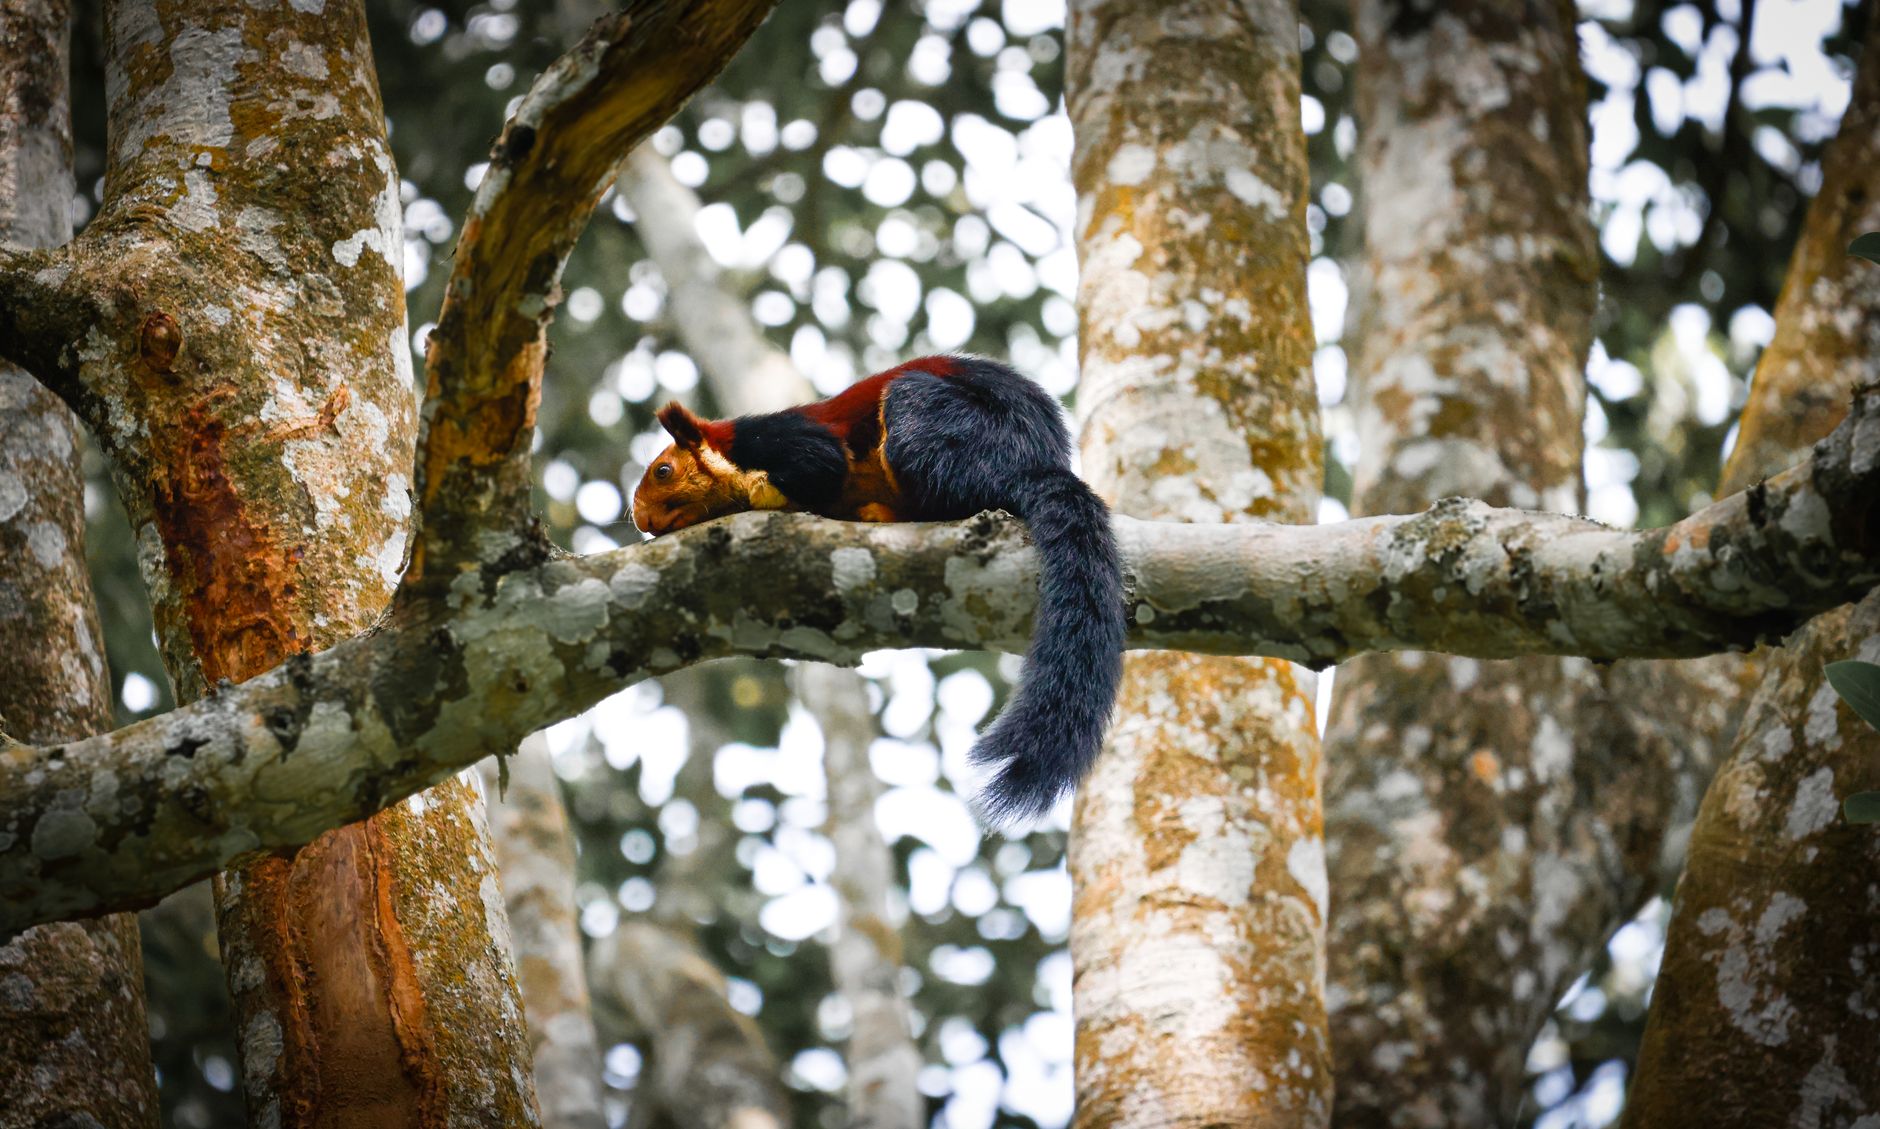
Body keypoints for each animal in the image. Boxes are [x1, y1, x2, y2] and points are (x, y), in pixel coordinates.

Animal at [630, 354, 1124, 823]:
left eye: (663, 471)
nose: (640, 519)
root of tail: (1037, 462)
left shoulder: (781, 439)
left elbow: (823, 464)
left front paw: (757, 489)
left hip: (949, 429)